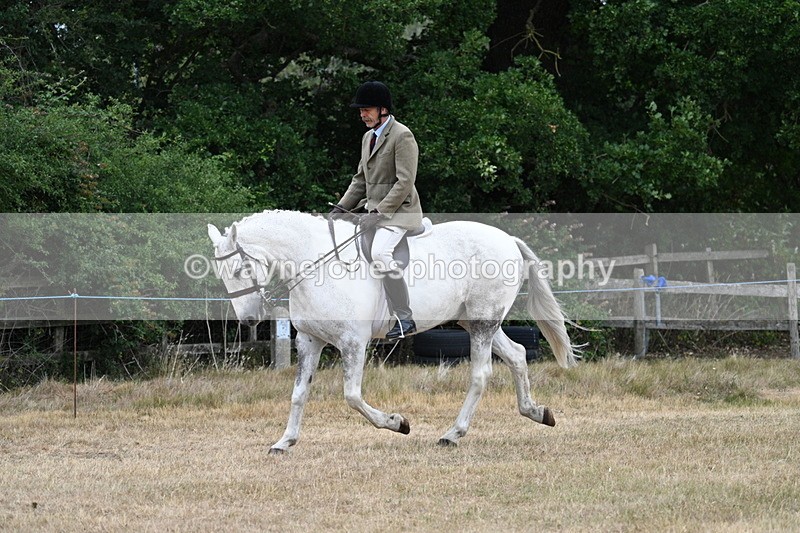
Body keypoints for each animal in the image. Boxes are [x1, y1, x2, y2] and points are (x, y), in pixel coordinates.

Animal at [207, 210, 577, 453]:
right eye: (222, 275)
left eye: (240, 268)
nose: (249, 320)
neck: (315, 265)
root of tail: (507, 239)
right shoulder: (310, 342)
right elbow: (299, 393)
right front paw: (284, 442)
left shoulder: (352, 343)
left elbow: (352, 396)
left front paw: (398, 422)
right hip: (473, 321)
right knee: (517, 354)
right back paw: (537, 412)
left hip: (483, 322)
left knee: (481, 373)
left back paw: (452, 434)